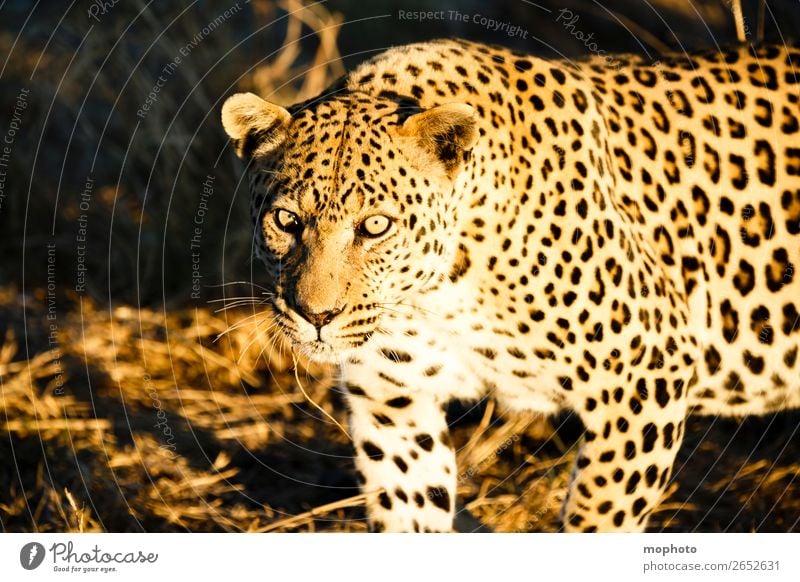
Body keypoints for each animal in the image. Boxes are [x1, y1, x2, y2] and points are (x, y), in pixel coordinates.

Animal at [220, 37, 800, 532]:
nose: (315, 316)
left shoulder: (645, 376)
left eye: (376, 226)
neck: (437, 292)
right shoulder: (392, 404)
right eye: (287, 220)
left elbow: (599, 517)